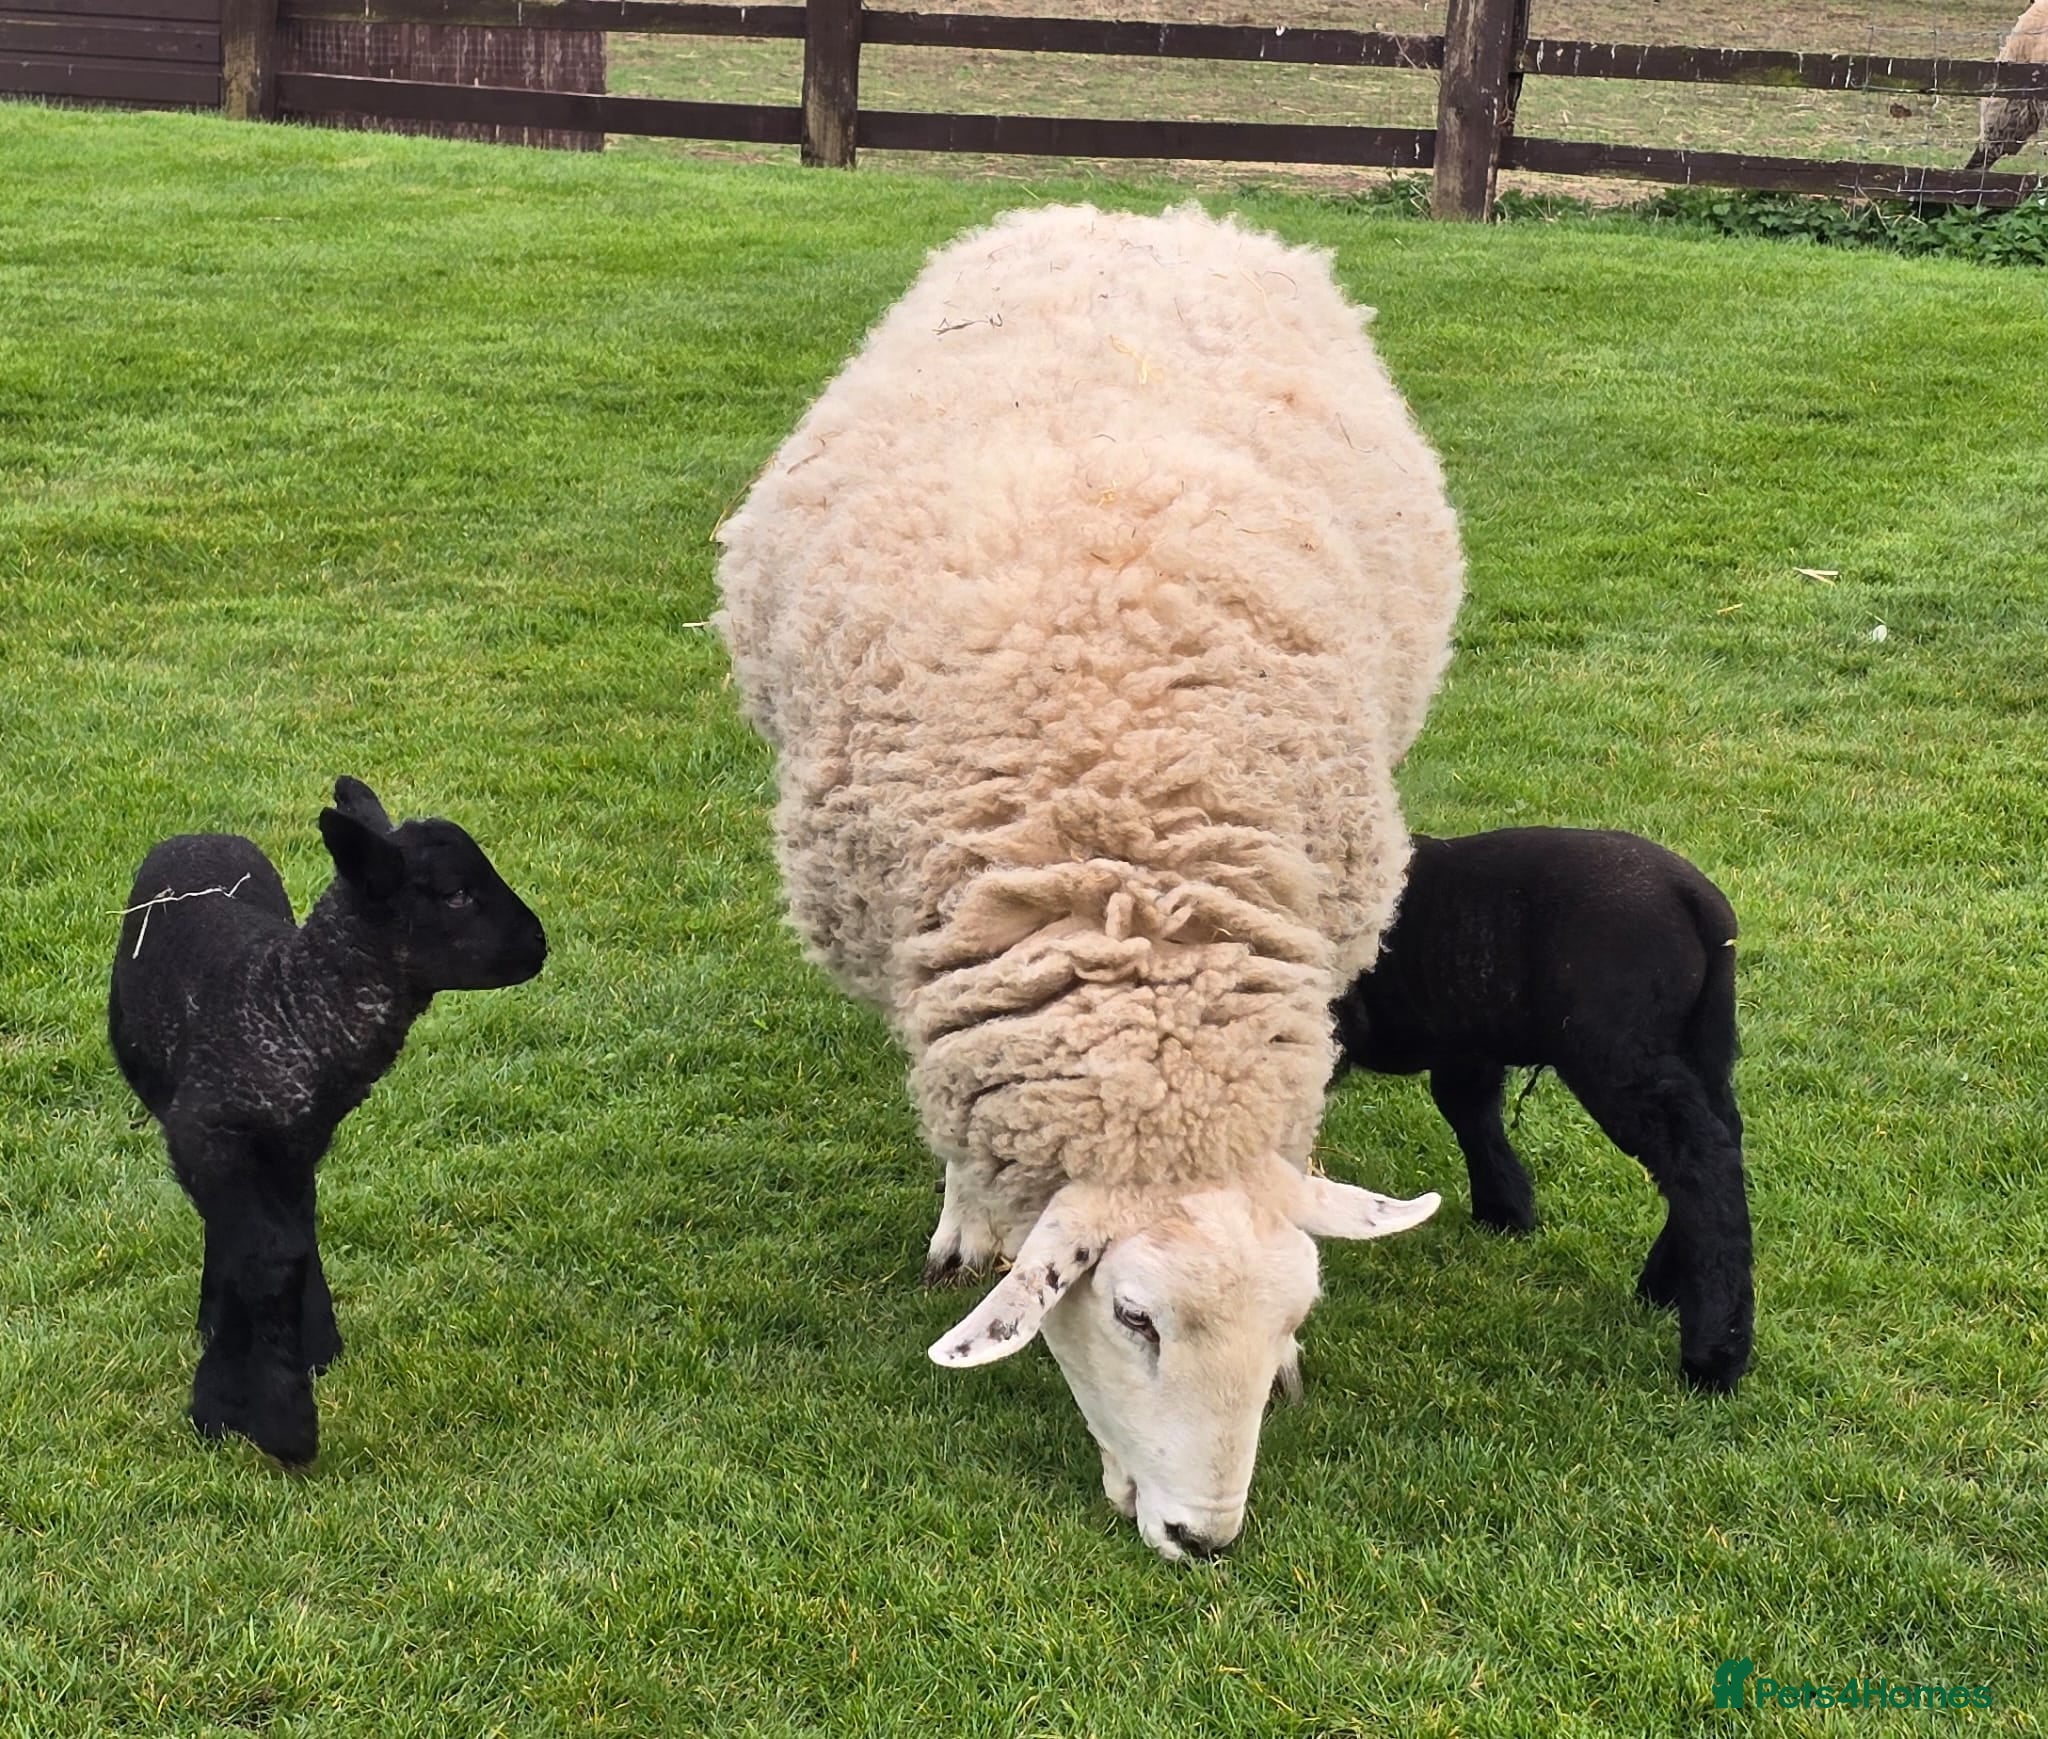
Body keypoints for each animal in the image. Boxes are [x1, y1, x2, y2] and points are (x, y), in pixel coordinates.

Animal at [108, 777, 547, 1464]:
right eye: (455, 894)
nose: (539, 944)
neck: (291, 1003)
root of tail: (200, 834)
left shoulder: (295, 1145)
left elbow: (286, 1241)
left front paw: (293, 1359)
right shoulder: (205, 1137)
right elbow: (265, 1255)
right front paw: (263, 1416)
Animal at [714, 203, 1463, 1560]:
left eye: (1293, 1320)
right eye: (1132, 1317)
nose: (1202, 1538)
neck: (1134, 880)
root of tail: (1139, 213)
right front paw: (966, 1226)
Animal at [1329, 827, 1753, 1393]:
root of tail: (1698, 902)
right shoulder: (1465, 1034)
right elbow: (1468, 1105)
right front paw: (1506, 1209)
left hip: (1613, 1047)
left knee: (1700, 1159)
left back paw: (1713, 1355)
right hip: (1700, 1039)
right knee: (1720, 1138)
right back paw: (1666, 1286)